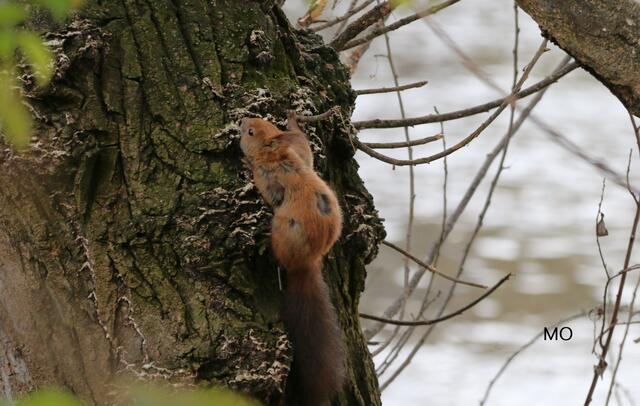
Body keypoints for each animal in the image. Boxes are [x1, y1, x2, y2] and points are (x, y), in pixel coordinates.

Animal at [240, 112, 345, 406]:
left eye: (251, 132)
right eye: (261, 122)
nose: (241, 120)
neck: (276, 155)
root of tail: (306, 263)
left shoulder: (271, 179)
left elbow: (268, 190)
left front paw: (245, 163)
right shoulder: (300, 151)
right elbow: (303, 143)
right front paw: (293, 121)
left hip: (282, 231)